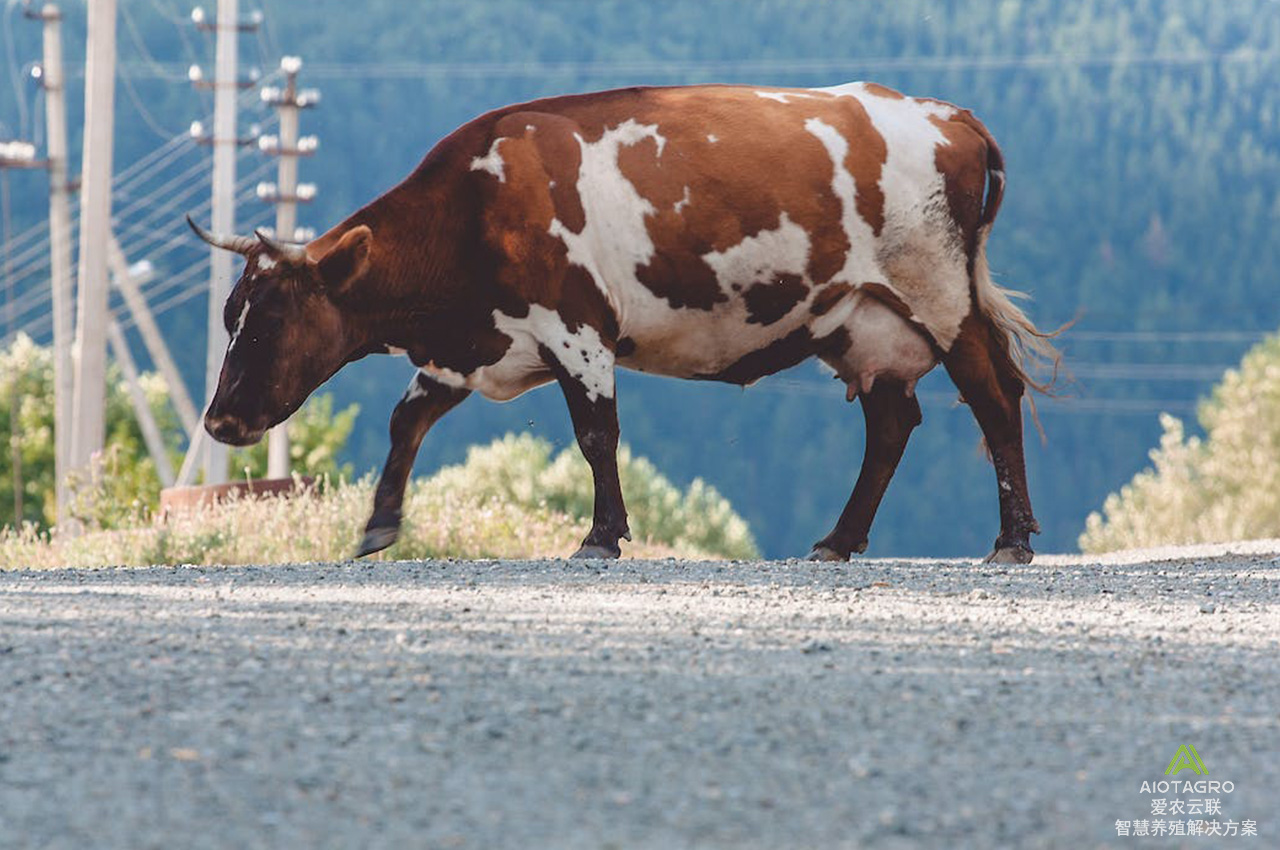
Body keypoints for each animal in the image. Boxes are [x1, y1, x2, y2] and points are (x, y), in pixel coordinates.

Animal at [189, 81, 1059, 563]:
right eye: (229, 313)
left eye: (270, 318)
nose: (221, 421)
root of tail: (948, 114)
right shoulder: (475, 347)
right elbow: (408, 421)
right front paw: (377, 527)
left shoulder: (576, 327)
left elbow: (596, 433)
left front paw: (601, 535)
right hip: (858, 321)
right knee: (891, 423)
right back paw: (837, 542)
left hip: (940, 294)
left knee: (994, 397)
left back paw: (1011, 540)